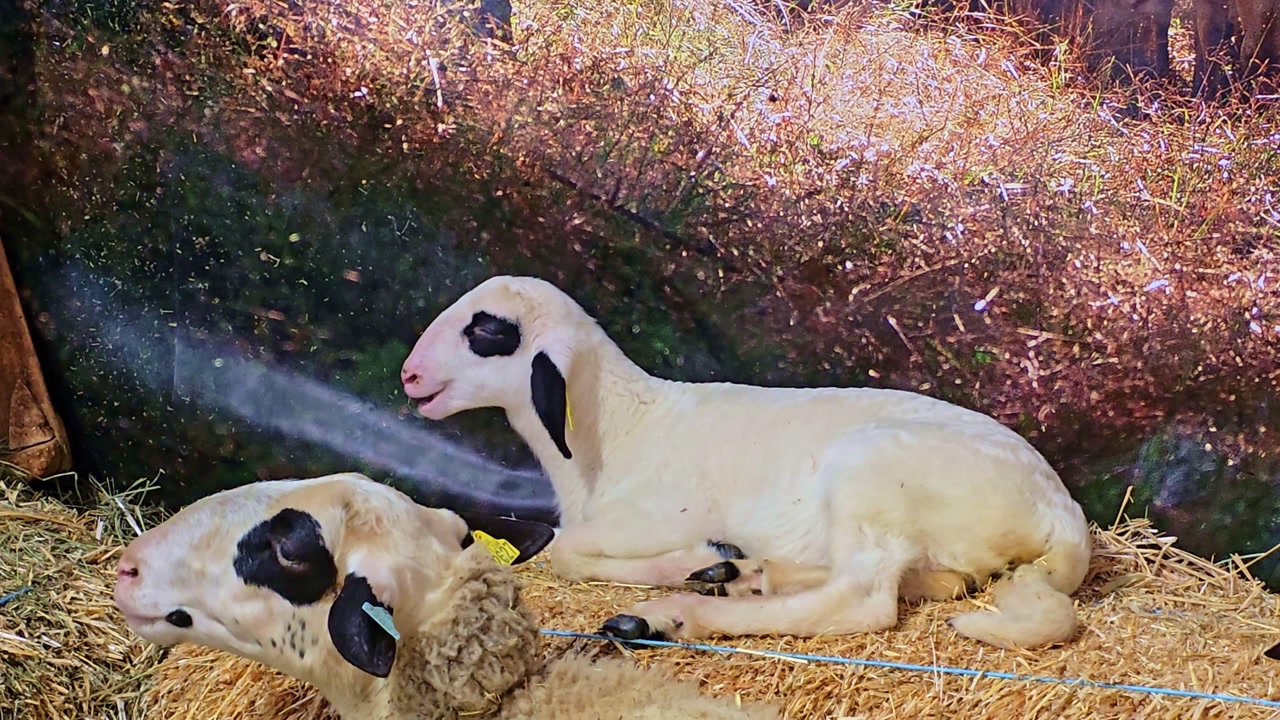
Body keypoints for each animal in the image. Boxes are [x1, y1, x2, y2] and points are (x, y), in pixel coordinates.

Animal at [399, 275, 1093, 650]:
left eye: (487, 331)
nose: (408, 375)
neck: (621, 429)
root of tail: (1061, 513)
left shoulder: (656, 516)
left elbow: (565, 551)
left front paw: (688, 562)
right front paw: (715, 561)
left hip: (869, 473)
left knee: (864, 599)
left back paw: (674, 611)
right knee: (925, 581)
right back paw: (742, 574)